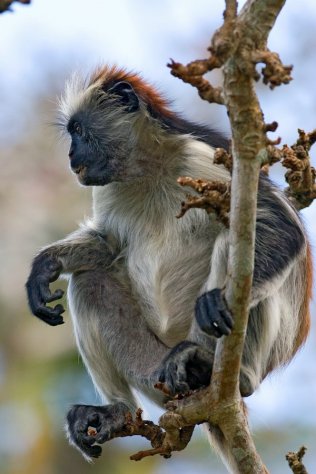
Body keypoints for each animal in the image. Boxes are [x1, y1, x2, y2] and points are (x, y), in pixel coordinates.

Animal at [26, 65, 312, 470]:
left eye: (78, 130)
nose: (70, 154)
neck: (149, 168)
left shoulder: (202, 156)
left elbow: (281, 226)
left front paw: (214, 301)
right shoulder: (108, 185)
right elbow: (107, 245)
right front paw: (45, 265)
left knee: (236, 240)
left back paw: (215, 364)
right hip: (155, 374)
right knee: (90, 282)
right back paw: (117, 411)